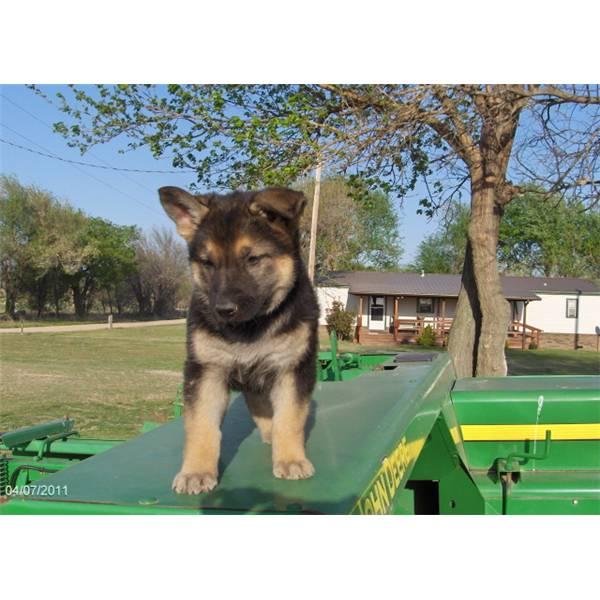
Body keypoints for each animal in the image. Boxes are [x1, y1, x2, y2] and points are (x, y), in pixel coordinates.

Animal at [158, 186, 318, 492]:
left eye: (252, 259)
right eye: (207, 263)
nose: (223, 310)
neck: (250, 328)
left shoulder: (292, 367)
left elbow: (289, 418)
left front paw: (291, 460)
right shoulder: (206, 371)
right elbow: (201, 425)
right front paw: (196, 471)